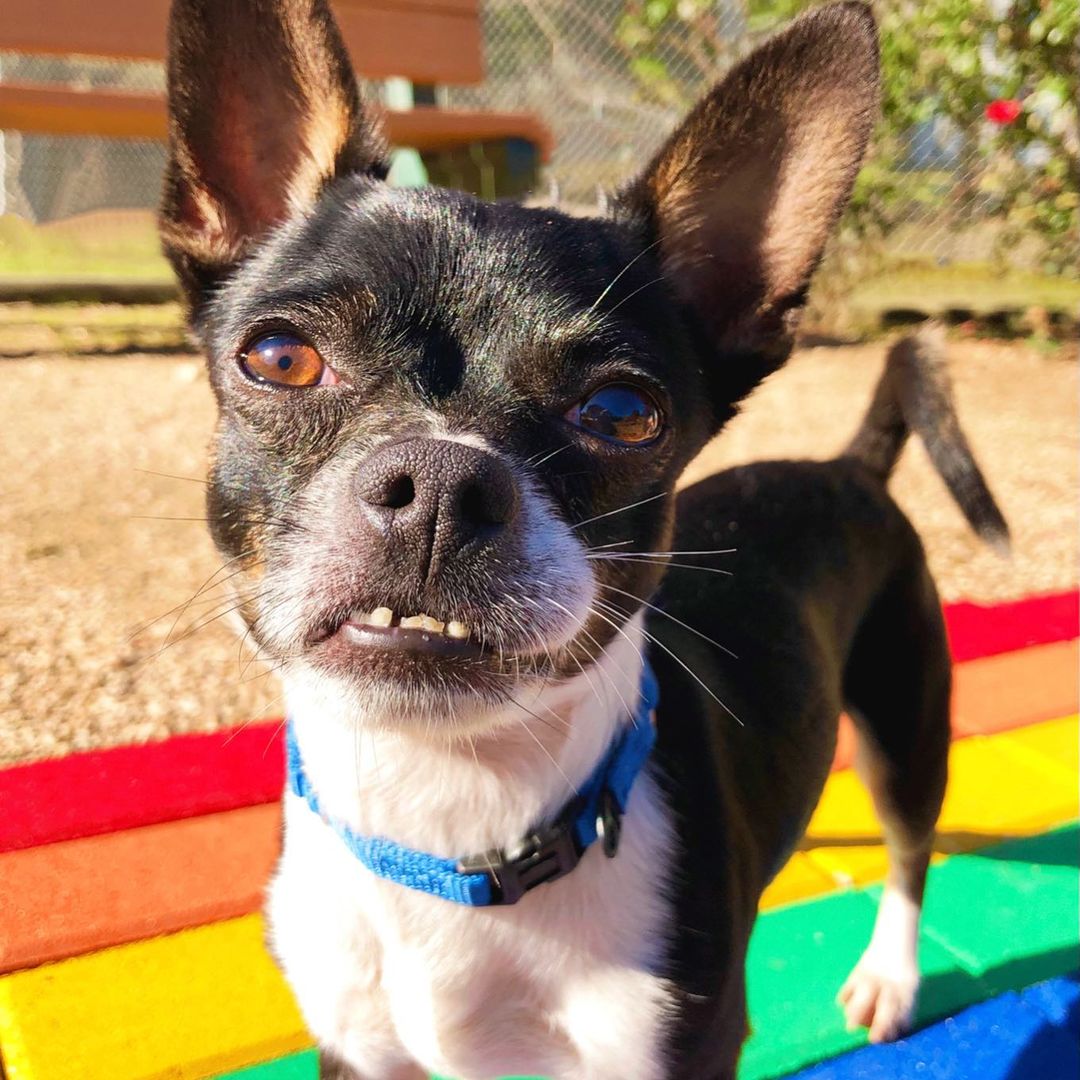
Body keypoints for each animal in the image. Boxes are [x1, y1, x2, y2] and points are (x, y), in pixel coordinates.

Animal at [159, 4, 1010, 1075]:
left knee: (909, 845)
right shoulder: (356, 1047)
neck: (450, 825)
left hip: (905, 718)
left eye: (622, 413)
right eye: (279, 358)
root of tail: (847, 464)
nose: (440, 480)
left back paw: (889, 976)